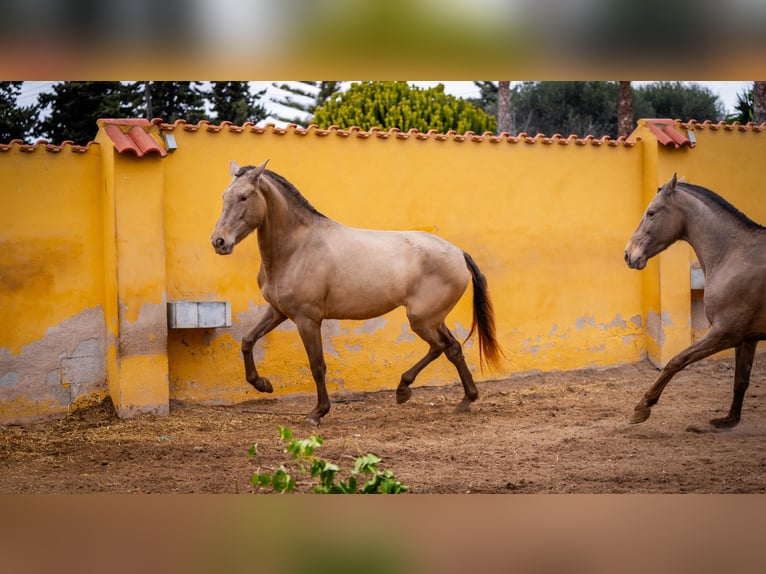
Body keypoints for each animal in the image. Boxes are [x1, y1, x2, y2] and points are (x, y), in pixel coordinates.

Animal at [210, 160, 504, 425]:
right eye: (224, 196)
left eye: (244, 197)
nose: (219, 242)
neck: (298, 248)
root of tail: (458, 253)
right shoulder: (278, 311)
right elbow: (247, 340)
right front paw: (263, 384)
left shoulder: (308, 319)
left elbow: (317, 366)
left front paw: (317, 413)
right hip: (433, 319)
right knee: (452, 348)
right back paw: (465, 400)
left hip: (422, 319)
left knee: (439, 347)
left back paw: (404, 390)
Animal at [624, 173, 766, 428]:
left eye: (651, 213)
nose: (628, 255)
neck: (734, 253)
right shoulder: (747, 338)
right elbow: (741, 380)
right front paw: (728, 420)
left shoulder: (725, 333)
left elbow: (676, 360)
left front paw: (642, 408)